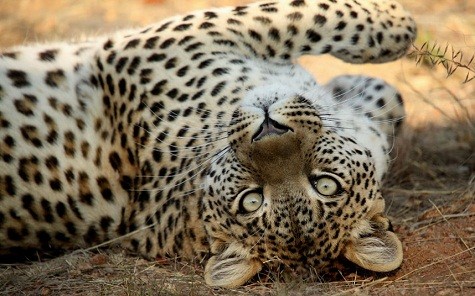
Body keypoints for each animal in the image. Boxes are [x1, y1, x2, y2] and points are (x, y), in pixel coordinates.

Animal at [0, 0, 416, 288]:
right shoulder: (167, 41)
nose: (268, 127)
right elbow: (311, 17)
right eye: (251, 200)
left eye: (325, 184)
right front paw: (397, 22)